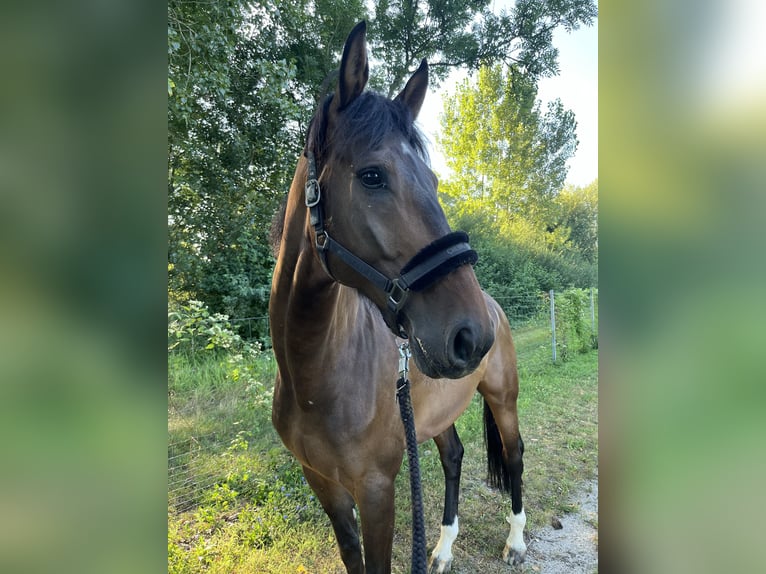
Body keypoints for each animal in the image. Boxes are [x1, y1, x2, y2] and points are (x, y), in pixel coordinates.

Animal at [269, 21, 526, 574]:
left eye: (432, 179)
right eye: (372, 175)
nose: (471, 335)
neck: (315, 376)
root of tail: (494, 307)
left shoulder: (376, 490)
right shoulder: (324, 485)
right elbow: (352, 555)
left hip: (503, 397)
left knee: (515, 454)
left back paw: (516, 540)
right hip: (438, 412)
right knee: (453, 457)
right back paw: (443, 548)